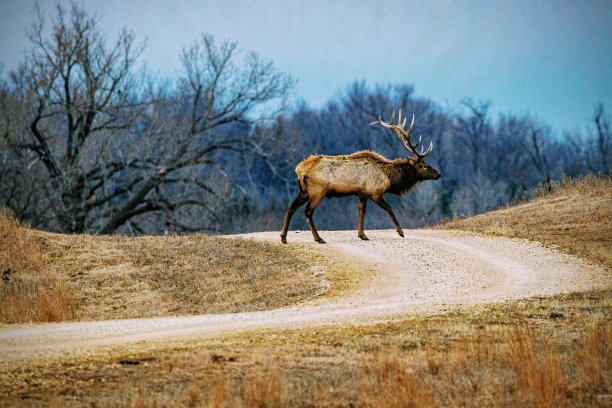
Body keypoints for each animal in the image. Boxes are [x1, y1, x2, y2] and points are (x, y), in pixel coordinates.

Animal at [280, 108, 442, 244]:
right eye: (424, 165)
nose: (438, 174)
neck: (388, 178)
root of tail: (299, 169)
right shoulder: (374, 192)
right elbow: (389, 208)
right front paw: (400, 232)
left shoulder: (361, 193)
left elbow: (361, 212)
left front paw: (362, 235)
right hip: (317, 190)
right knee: (308, 211)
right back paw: (318, 238)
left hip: (303, 191)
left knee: (291, 207)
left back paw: (283, 237)